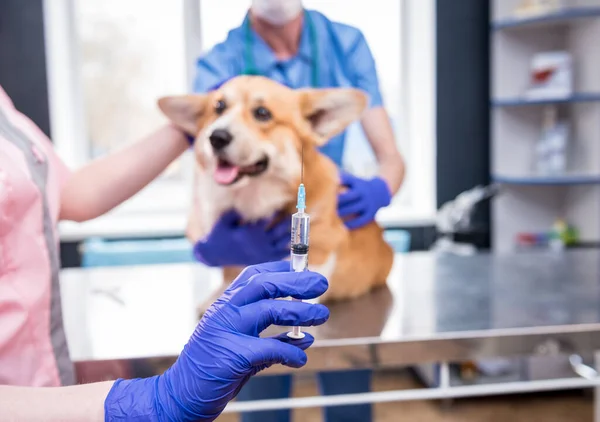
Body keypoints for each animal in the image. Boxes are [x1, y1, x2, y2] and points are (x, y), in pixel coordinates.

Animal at [159, 76, 394, 304]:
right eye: (219, 107)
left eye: (262, 113)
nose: (216, 137)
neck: (252, 198)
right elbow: (232, 272)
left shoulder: (323, 245)